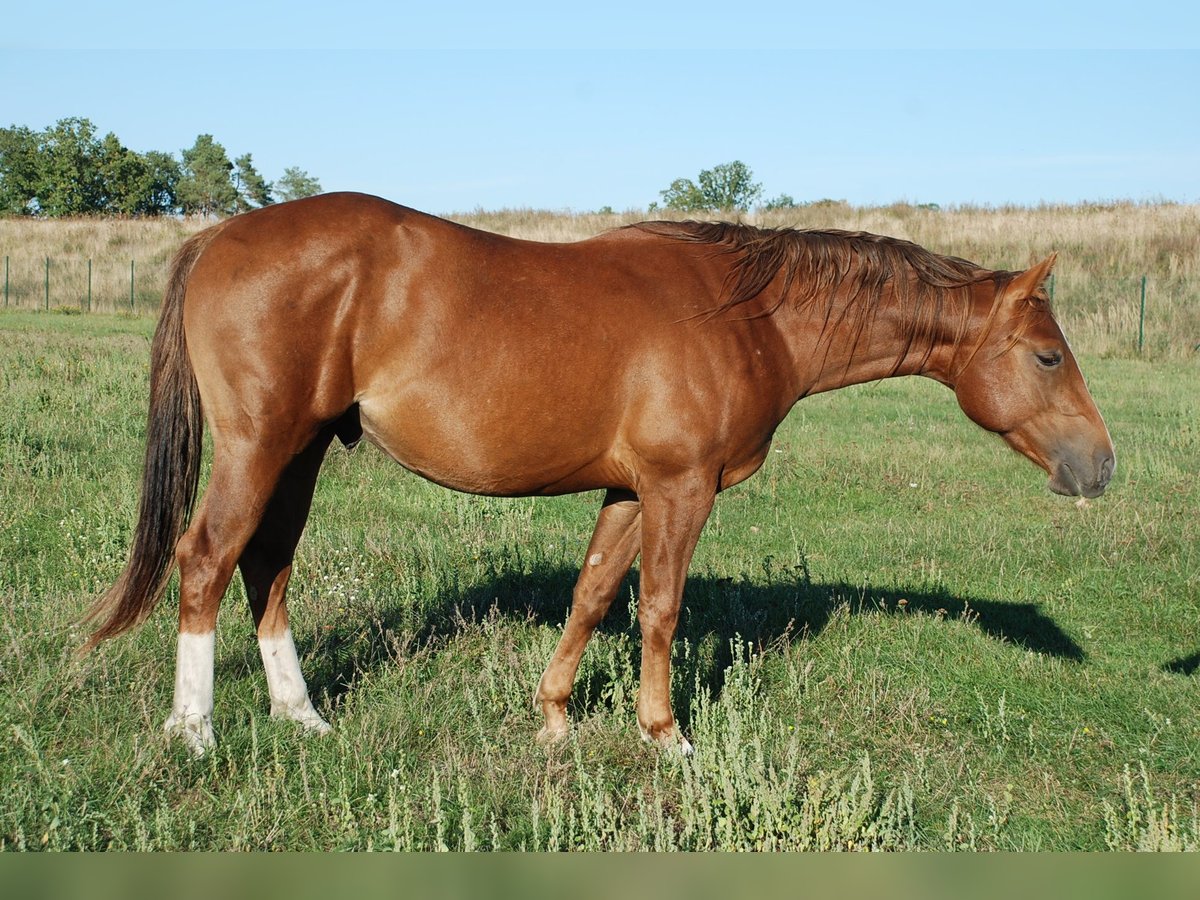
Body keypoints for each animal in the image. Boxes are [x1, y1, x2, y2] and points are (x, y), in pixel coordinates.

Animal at [83, 192, 1115, 755]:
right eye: (1049, 356)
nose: (1100, 466)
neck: (748, 315)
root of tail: (217, 238)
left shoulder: (628, 490)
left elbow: (590, 595)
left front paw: (553, 718)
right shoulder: (679, 488)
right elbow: (658, 608)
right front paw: (667, 736)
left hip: (298, 453)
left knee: (268, 566)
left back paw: (302, 718)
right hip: (259, 447)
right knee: (207, 560)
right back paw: (195, 731)